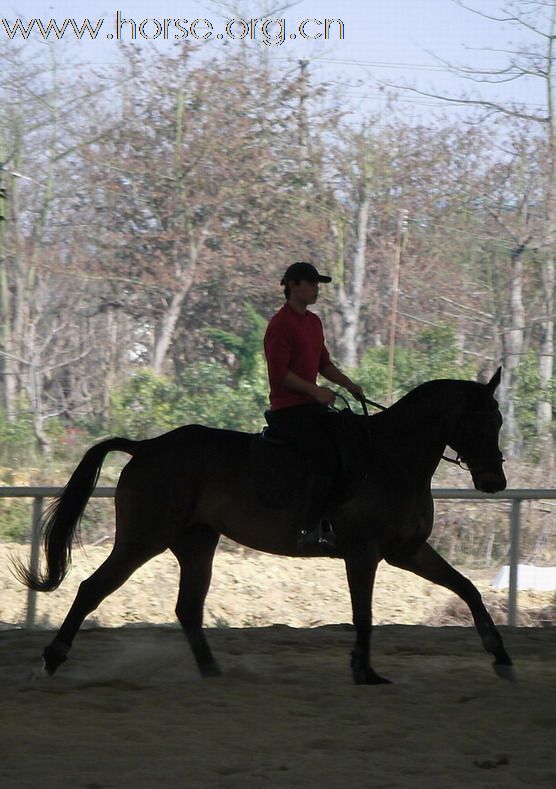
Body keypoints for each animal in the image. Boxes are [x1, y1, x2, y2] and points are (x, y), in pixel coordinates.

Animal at [17, 370, 512, 684]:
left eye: (499, 419)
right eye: (481, 421)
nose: (495, 482)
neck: (392, 458)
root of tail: (147, 447)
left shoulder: (406, 551)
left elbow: (468, 588)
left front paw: (501, 656)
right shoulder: (364, 552)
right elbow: (364, 613)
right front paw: (364, 671)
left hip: (196, 543)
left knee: (188, 609)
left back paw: (214, 674)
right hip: (143, 540)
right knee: (92, 589)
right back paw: (51, 660)